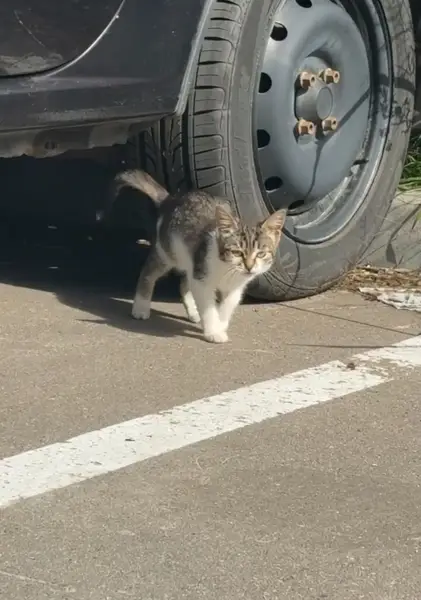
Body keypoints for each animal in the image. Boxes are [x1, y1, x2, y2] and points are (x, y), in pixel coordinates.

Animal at [115, 169, 286, 343]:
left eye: (261, 253)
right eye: (237, 252)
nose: (249, 267)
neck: (226, 268)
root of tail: (171, 199)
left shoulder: (234, 287)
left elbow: (227, 305)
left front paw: (220, 324)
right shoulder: (202, 278)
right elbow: (208, 307)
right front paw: (213, 331)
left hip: (190, 260)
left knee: (184, 284)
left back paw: (193, 312)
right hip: (167, 252)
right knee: (148, 272)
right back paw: (140, 307)